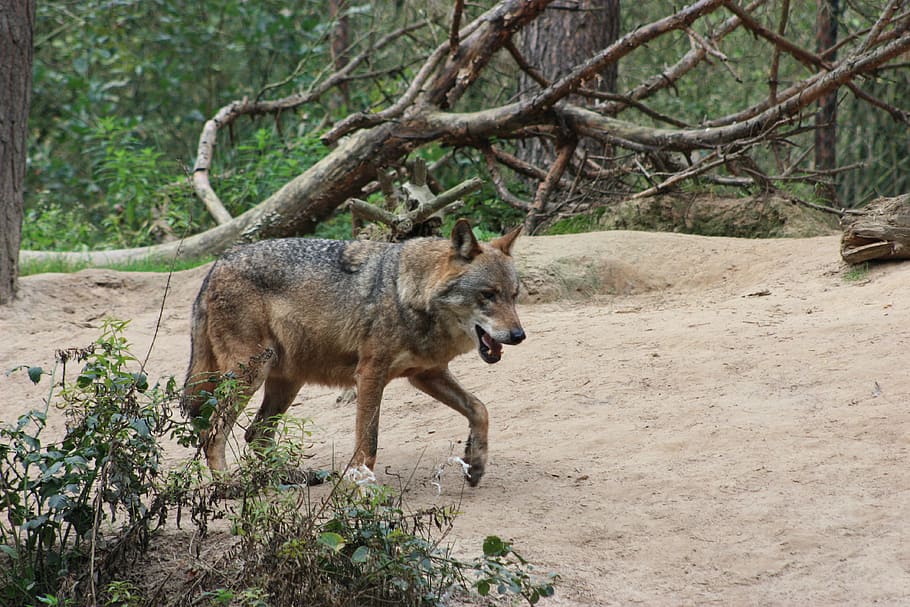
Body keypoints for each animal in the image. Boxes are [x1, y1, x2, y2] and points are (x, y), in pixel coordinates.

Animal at [182, 219, 525, 486]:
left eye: (513, 296)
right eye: (487, 295)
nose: (519, 336)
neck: (407, 294)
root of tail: (216, 266)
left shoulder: (427, 375)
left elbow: (480, 409)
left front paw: (475, 463)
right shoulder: (371, 373)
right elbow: (368, 441)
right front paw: (361, 482)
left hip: (286, 382)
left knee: (256, 434)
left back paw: (284, 478)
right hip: (251, 375)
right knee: (213, 433)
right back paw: (229, 486)